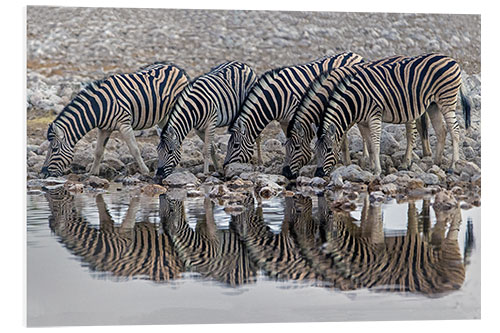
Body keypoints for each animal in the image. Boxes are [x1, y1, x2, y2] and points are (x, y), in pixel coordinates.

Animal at [40, 61, 189, 178]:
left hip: (174, 109)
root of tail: (174, 67)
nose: (42, 174)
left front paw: (145, 171)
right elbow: (98, 151)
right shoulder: (104, 128)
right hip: (163, 116)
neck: (100, 107)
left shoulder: (124, 125)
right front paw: (93, 173)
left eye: (54, 149)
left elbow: (134, 150)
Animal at [223, 52, 364, 167]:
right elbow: (289, 138)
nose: (225, 166)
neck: (276, 98)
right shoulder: (284, 121)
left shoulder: (295, 116)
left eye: (235, 145)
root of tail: (354, 54)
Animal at [282, 55, 434, 179]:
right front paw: (366, 163)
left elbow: (344, 141)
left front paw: (347, 163)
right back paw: (426, 153)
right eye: (285, 147)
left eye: (297, 148)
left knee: (411, 132)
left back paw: (405, 162)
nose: (286, 174)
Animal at [314, 52, 470, 176]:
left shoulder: (374, 115)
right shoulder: (363, 121)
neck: (356, 100)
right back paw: (436, 163)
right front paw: (371, 167)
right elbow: (370, 146)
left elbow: (376, 144)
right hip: (433, 105)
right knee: (441, 131)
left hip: (447, 101)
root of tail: (452, 60)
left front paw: (377, 171)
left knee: (455, 131)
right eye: (315, 150)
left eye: (329, 150)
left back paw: (452, 166)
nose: (318, 174)